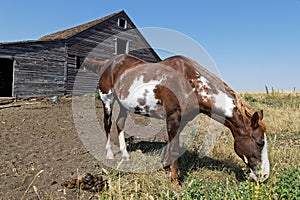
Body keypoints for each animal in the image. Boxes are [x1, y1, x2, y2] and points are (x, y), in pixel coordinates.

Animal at [88, 54, 270, 182]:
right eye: (260, 142)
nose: (265, 175)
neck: (189, 82)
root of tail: (108, 62)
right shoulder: (173, 117)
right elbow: (175, 148)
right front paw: (175, 183)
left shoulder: (181, 120)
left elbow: (171, 146)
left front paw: (166, 168)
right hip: (107, 99)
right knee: (107, 124)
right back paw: (110, 154)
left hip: (124, 104)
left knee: (120, 124)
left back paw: (125, 155)